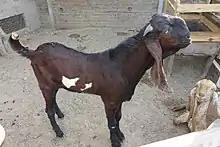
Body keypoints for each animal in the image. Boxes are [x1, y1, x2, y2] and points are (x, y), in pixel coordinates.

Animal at [8, 13, 191, 147]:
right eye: (166, 29)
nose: (189, 37)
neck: (120, 66)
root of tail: (34, 52)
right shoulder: (109, 100)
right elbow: (111, 122)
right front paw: (115, 142)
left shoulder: (120, 99)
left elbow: (119, 118)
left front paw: (120, 135)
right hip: (44, 83)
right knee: (48, 109)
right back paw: (58, 132)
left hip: (55, 83)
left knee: (53, 100)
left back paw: (60, 114)